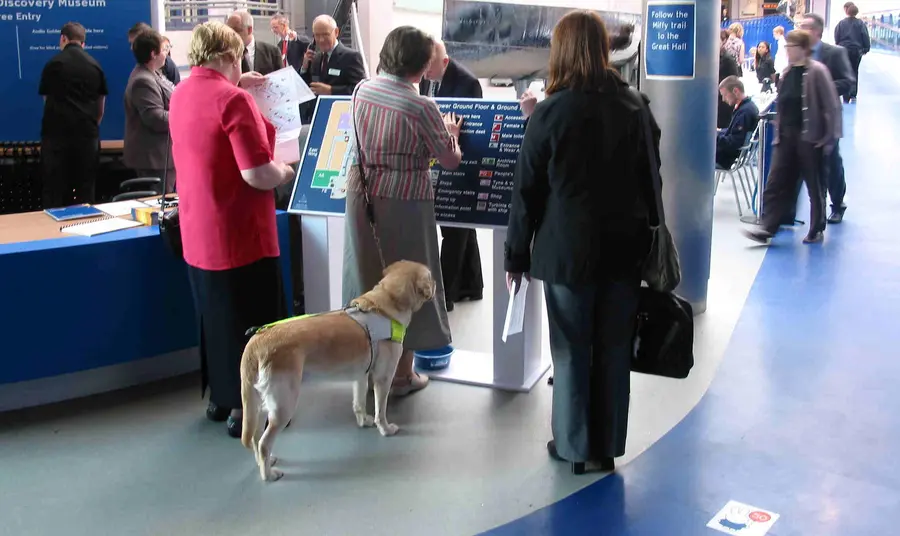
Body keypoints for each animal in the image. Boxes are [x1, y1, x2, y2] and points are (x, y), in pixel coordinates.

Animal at [239, 260, 436, 482]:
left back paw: (265, 462)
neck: (386, 303)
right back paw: (268, 474)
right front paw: (385, 429)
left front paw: (363, 421)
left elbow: (359, 404)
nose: (437, 284)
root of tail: (255, 342)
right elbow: (381, 411)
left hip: (261, 404)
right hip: (283, 404)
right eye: (430, 277)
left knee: (255, 438)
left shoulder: (361, 376)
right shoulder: (383, 378)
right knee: (264, 443)